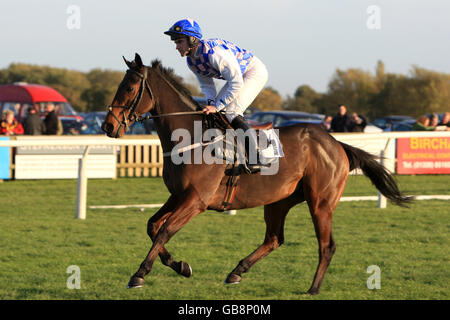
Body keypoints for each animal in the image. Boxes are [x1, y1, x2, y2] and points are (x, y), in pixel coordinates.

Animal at [101, 53, 412, 296]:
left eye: (130, 87)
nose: (108, 126)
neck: (190, 137)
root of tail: (336, 143)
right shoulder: (178, 195)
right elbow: (152, 226)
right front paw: (181, 266)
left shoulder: (196, 200)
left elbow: (165, 230)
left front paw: (139, 274)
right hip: (279, 201)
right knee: (274, 238)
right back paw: (237, 271)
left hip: (321, 202)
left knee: (327, 245)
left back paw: (313, 288)